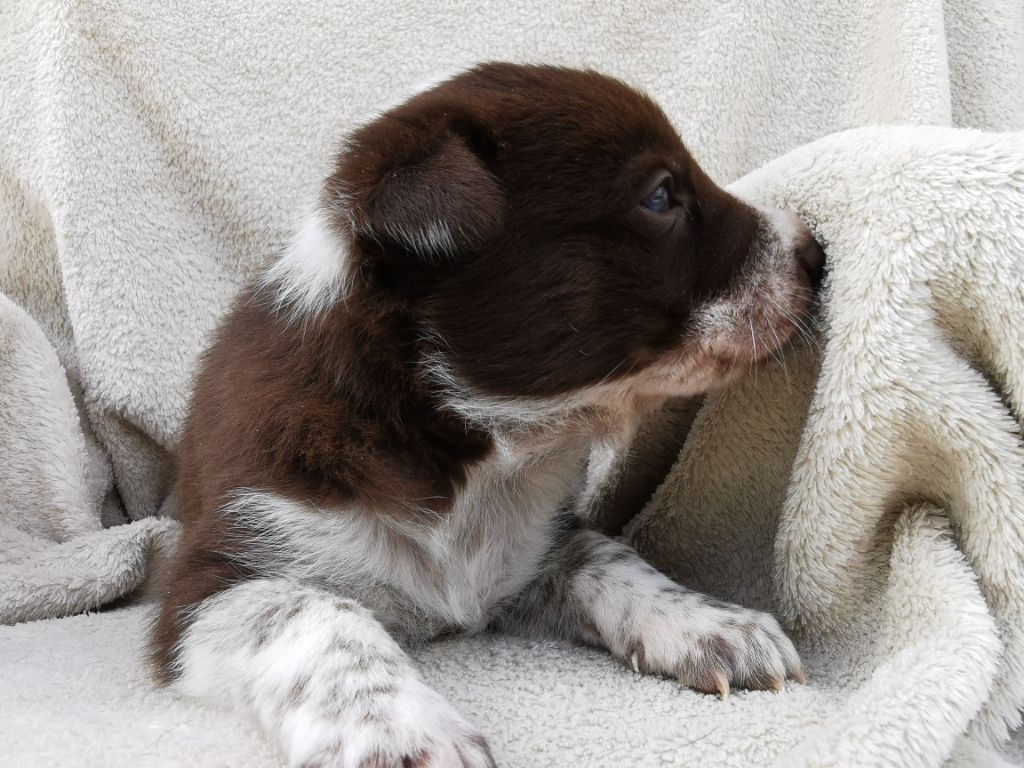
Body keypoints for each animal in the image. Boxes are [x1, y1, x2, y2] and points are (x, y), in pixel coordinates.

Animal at [152, 63, 823, 768]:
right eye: (662, 196)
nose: (817, 252)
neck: (474, 447)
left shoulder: (536, 541)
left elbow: (608, 554)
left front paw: (714, 623)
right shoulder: (217, 578)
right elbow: (321, 619)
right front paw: (398, 733)